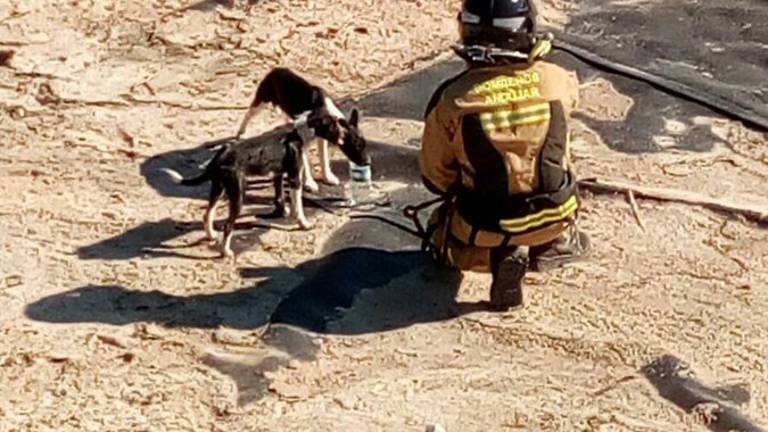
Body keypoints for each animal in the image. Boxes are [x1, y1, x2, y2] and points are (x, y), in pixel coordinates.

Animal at [164, 106, 368, 258]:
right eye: (333, 125)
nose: (343, 134)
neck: (298, 133)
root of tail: (221, 154)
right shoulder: (294, 177)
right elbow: (299, 205)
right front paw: (303, 223)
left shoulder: (278, 174)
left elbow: (284, 200)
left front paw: (287, 214)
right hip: (238, 195)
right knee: (228, 226)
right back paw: (226, 252)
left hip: (219, 190)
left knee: (207, 214)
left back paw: (212, 235)